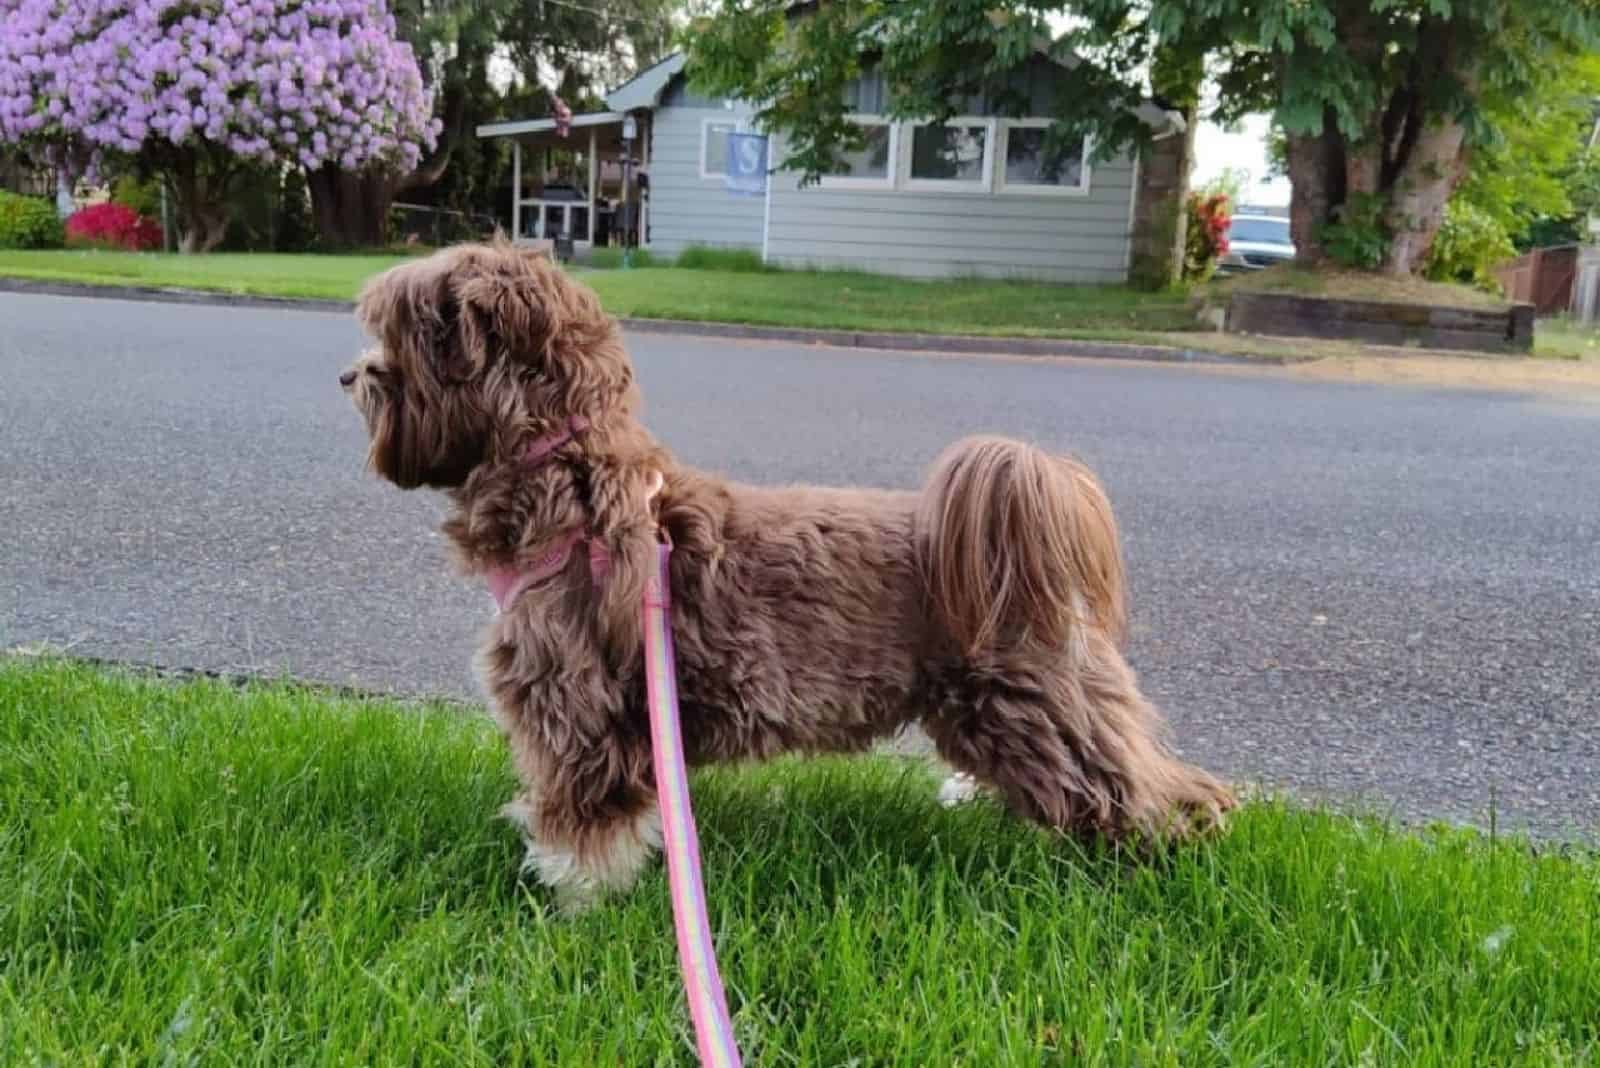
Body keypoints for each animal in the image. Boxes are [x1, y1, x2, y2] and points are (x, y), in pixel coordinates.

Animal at [340, 241, 1235, 908]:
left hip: (1031, 705)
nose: (349, 376)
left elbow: (582, 828)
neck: (575, 487)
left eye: (399, 335)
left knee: (1140, 792)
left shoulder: (577, 709)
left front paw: (572, 908)